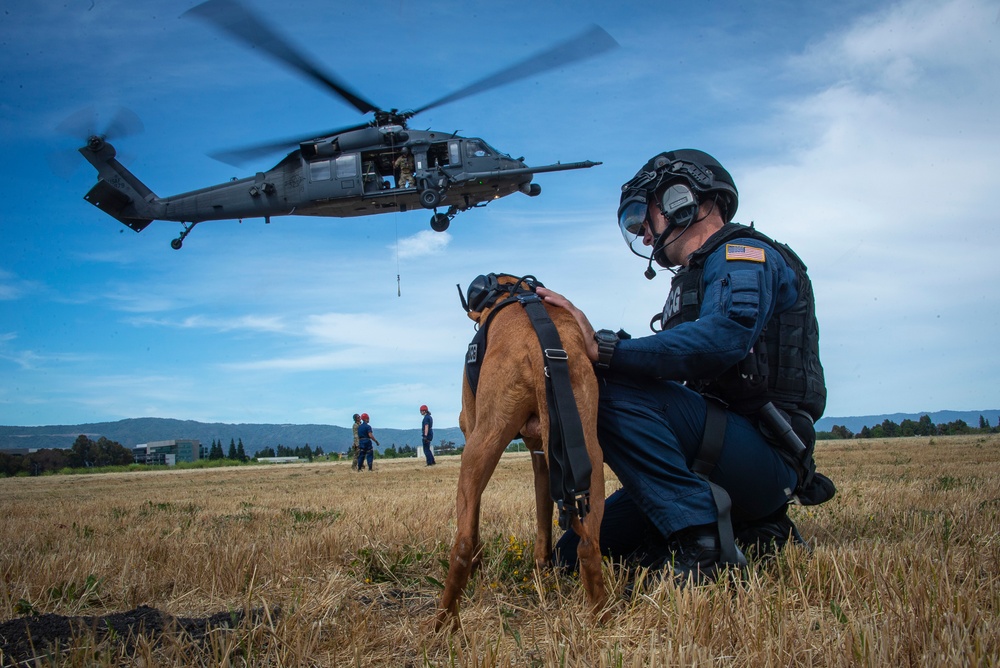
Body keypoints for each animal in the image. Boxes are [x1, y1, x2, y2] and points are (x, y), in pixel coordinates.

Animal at [436, 274, 608, 628]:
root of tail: (538, 347)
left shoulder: (472, 425)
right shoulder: (542, 459)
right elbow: (543, 524)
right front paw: (542, 571)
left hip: (478, 447)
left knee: (463, 543)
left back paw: (443, 624)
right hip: (589, 459)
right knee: (589, 546)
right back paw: (602, 619)